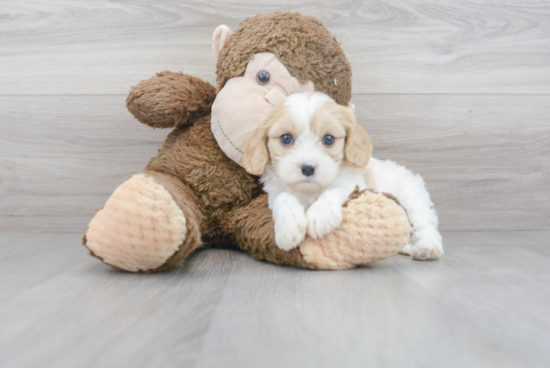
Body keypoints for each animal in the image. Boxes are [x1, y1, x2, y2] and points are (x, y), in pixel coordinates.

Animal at [243, 91, 444, 262]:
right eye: (286, 139)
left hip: (412, 199)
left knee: (425, 226)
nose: (307, 168)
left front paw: (320, 215)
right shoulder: (276, 192)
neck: (310, 191)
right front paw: (289, 226)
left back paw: (427, 248)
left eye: (329, 139)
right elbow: (284, 197)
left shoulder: (355, 185)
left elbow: (335, 190)